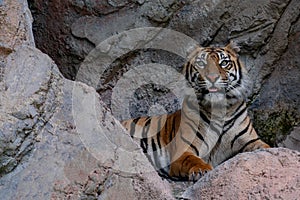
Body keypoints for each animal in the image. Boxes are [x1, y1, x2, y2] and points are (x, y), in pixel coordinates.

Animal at [120, 41, 270, 181]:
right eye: (201, 63)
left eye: (224, 63)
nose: (212, 77)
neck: (218, 110)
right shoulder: (184, 149)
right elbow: (193, 160)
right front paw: (202, 169)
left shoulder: (250, 140)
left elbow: (266, 147)